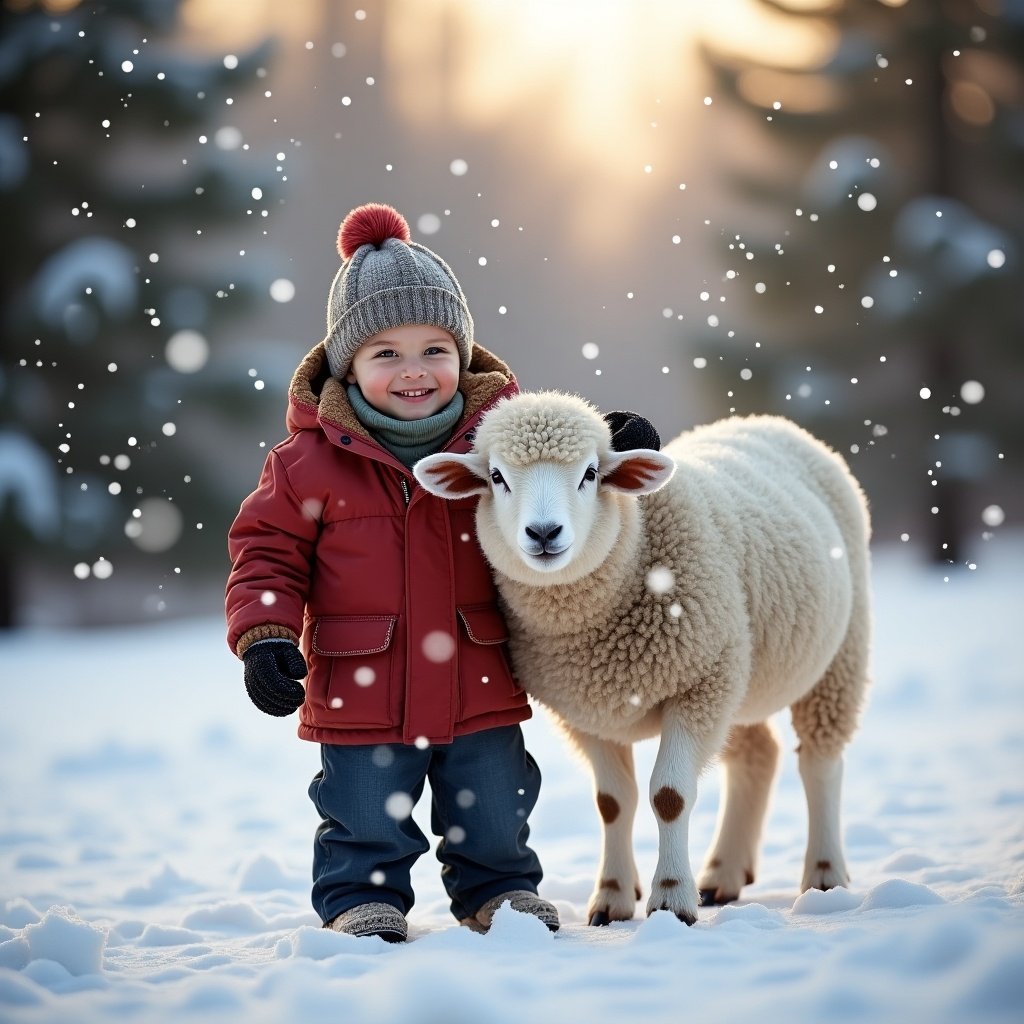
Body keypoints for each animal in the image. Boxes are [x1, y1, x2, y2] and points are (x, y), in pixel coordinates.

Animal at [411, 393, 868, 929]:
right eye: (497, 477)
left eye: (590, 473)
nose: (543, 533)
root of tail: (770, 422)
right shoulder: (589, 709)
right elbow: (612, 803)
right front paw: (611, 897)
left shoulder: (699, 685)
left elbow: (669, 797)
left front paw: (670, 899)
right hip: (741, 676)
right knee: (757, 754)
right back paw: (724, 873)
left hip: (839, 654)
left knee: (820, 761)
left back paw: (824, 873)